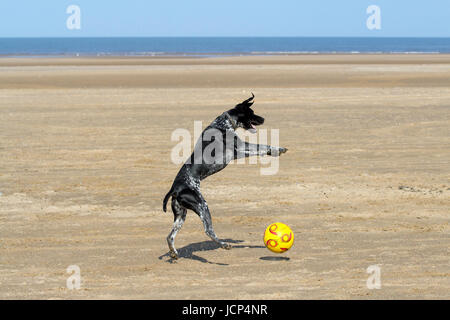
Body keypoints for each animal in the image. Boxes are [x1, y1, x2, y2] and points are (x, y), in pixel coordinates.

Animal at [163, 94, 286, 258]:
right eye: (252, 112)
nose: (264, 119)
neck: (223, 123)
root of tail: (175, 189)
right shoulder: (239, 149)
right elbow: (260, 147)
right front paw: (277, 149)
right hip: (202, 205)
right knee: (208, 230)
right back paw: (224, 245)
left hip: (181, 214)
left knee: (169, 236)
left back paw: (174, 253)